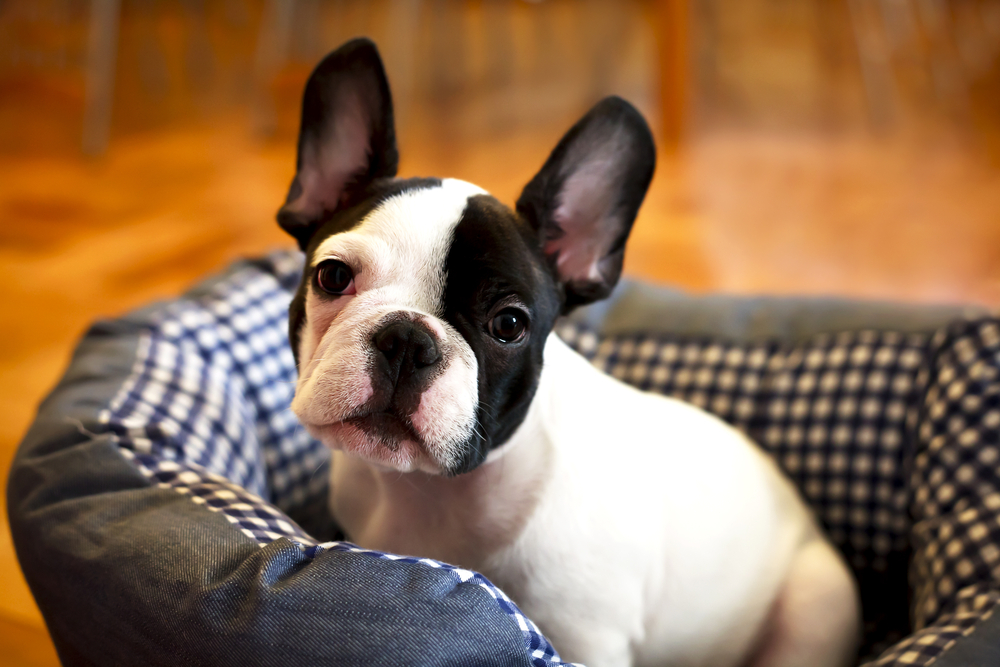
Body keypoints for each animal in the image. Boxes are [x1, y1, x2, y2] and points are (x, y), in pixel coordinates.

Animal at [280, 39, 860, 667]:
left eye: (509, 324)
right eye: (332, 276)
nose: (408, 339)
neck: (434, 491)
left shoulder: (589, 639)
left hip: (815, 604)